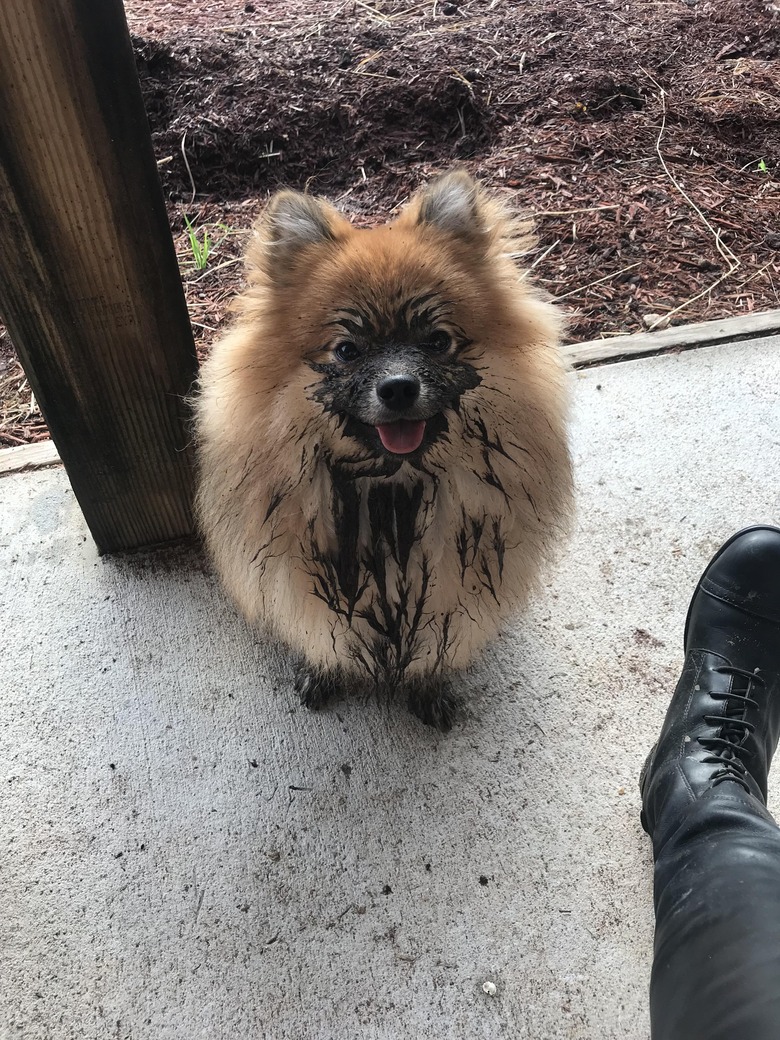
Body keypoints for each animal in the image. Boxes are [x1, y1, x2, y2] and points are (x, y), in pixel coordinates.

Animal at [195, 170, 574, 728]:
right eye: (348, 351)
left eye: (437, 341)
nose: (398, 387)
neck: (391, 486)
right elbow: (319, 635)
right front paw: (322, 672)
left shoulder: (451, 583)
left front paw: (428, 686)